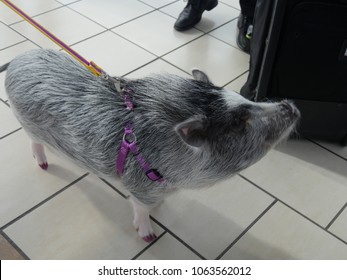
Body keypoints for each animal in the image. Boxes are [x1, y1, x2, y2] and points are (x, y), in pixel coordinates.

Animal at [2, 49, 302, 242]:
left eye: (244, 100)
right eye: (239, 122)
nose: (290, 106)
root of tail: (16, 60)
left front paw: (160, 210)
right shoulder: (140, 186)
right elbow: (141, 210)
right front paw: (149, 236)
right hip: (28, 124)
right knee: (34, 142)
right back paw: (43, 165)